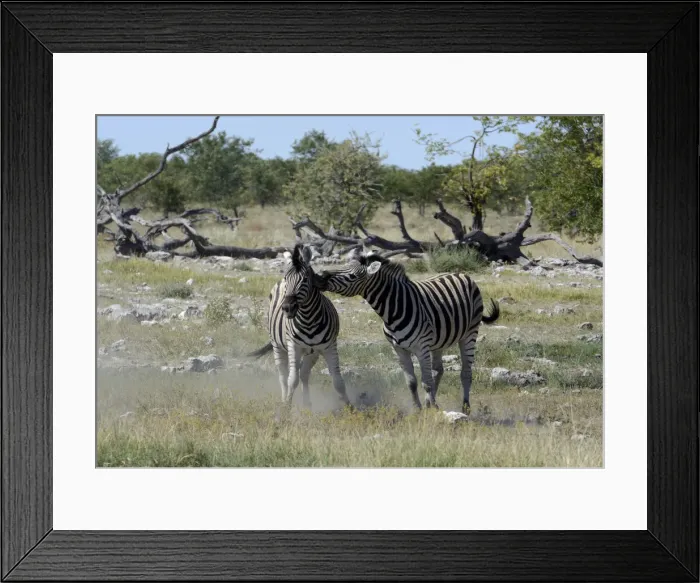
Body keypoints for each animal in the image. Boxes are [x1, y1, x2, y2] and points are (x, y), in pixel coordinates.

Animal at [247, 244, 351, 410]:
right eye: (286, 279)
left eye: (305, 279)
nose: (288, 308)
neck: (309, 320)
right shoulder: (294, 346)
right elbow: (292, 380)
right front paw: (287, 409)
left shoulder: (329, 347)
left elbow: (338, 381)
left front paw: (350, 408)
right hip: (278, 346)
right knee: (283, 375)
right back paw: (284, 400)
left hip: (312, 353)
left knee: (304, 373)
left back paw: (307, 404)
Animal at [315, 249, 499, 414]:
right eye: (344, 266)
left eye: (353, 276)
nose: (320, 277)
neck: (392, 312)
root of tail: (460, 274)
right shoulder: (398, 349)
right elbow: (411, 382)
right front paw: (418, 408)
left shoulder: (421, 347)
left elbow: (426, 382)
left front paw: (431, 409)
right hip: (438, 341)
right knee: (438, 370)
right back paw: (432, 401)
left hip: (469, 333)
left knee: (465, 373)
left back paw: (465, 408)